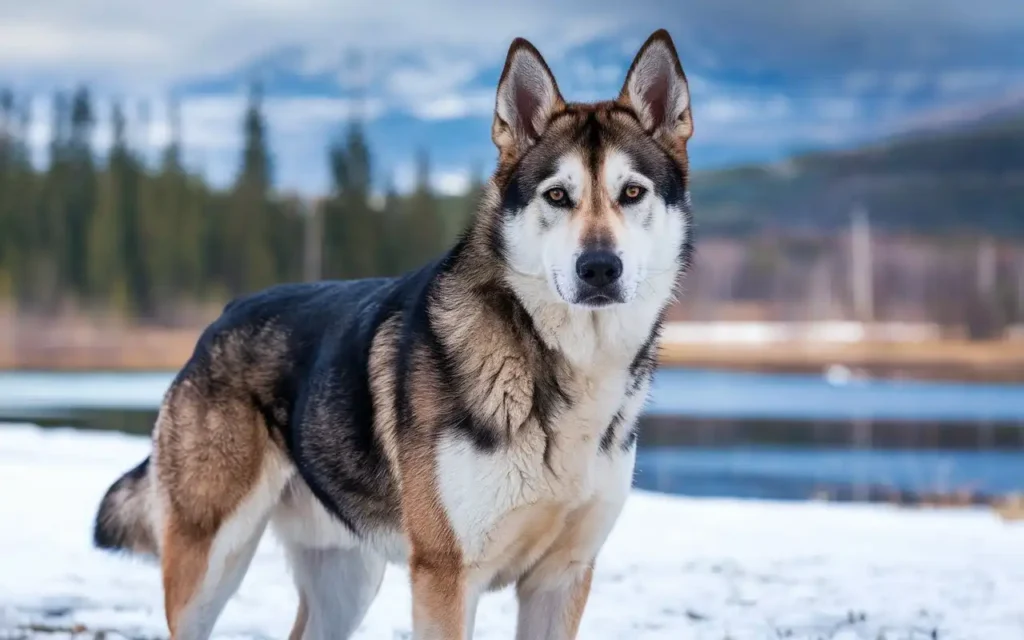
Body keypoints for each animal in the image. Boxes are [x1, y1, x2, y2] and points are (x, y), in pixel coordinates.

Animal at [92, 28, 696, 638]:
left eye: (632, 192)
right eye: (556, 195)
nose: (599, 268)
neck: (563, 364)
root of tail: (217, 321)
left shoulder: (563, 578)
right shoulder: (445, 576)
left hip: (347, 585)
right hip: (213, 565)